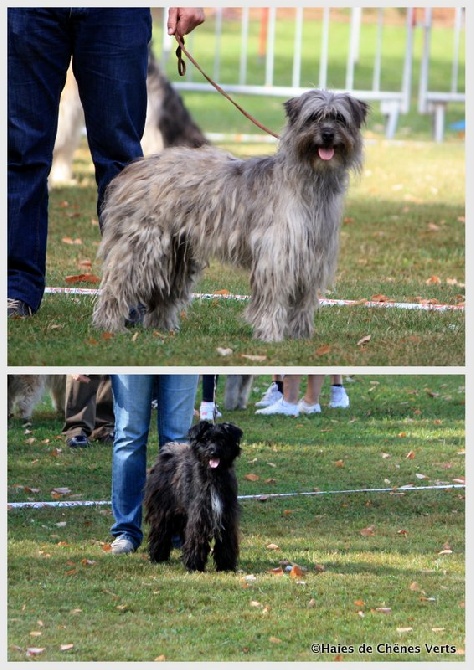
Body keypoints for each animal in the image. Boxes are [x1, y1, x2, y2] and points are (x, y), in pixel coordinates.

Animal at [91, 89, 366, 342]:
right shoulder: (277, 256)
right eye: (313, 118)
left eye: (339, 118)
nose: (328, 135)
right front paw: (270, 334)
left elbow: (303, 301)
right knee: (117, 285)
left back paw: (162, 328)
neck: (310, 181)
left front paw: (300, 336)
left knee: (164, 292)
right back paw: (109, 325)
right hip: (142, 247)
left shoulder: (311, 258)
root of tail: (133, 170)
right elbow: (272, 299)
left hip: (176, 253)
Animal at [143, 420, 243, 572]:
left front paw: (226, 565)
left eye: (222, 439)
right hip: (163, 511)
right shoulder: (199, 514)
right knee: (160, 532)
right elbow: (196, 537)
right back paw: (158, 557)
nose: (213, 451)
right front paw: (194, 566)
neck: (213, 476)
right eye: (205, 439)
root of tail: (167, 452)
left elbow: (226, 541)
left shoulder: (226, 515)